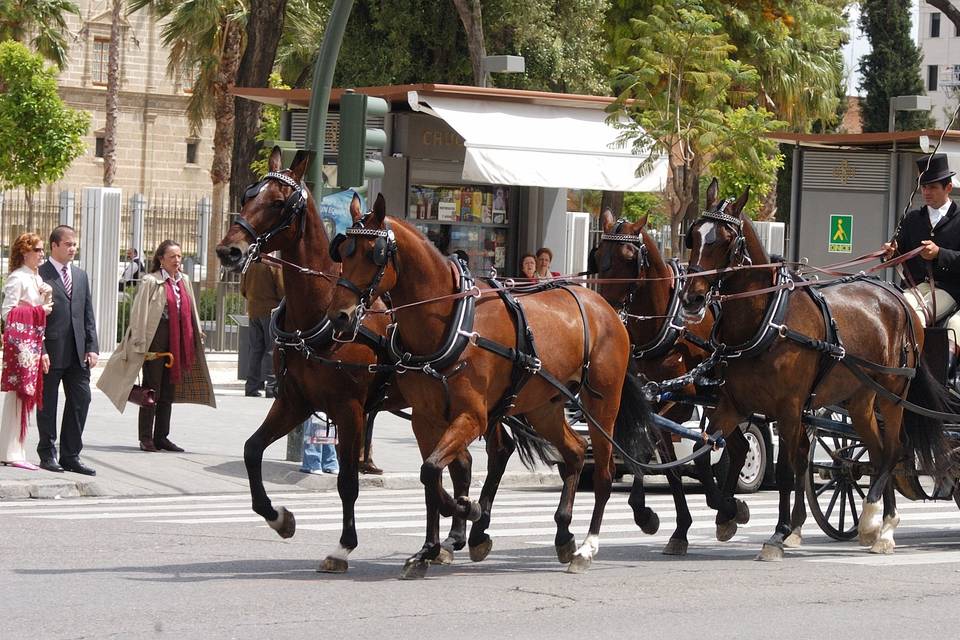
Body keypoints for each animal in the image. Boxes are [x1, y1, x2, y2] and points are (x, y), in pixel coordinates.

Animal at [214, 148, 476, 572]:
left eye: (278, 203)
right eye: (246, 196)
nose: (229, 251)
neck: (317, 313)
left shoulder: (349, 409)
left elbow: (348, 482)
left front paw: (344, 545)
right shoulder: (295, 401)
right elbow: (252, 451)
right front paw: (279, 518)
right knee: (460, 463)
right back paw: (452, 537)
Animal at [326, 194, 656, 576]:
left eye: (373, 254)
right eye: (343, 250)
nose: (340, 316)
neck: (450, 321)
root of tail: (606, 308)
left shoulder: (472, 416)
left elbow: (432, 471)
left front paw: (468, 511)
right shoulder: (425, 420)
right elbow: (430, 478)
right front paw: (429, 548)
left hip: (601, 405)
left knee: (603, 471)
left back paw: (587, 546)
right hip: (543, 407)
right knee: (574, 452)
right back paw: (562, 534)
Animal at [592, 211, 752, 556]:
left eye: (629, 257)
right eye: (598, 256)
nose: (604, 309)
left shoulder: (682, 397)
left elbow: (685, 449)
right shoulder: (651, 396)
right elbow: (666, 460)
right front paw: (668, 523)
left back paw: (726, 507)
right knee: (738, 447)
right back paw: (726, 509)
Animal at [680, 178, 956, 556]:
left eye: (724, 240)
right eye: (693, 236)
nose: (691, 299)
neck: (767, 319)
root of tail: (901, 299)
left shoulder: (789, 408)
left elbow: (785, 470)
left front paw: (779, 534)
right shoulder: (732, 404)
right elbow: (702, 453)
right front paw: (728, 514)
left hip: (893, 396)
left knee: (893, 451)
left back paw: (878, 523)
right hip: (861, 400)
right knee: (877, 451)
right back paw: (878, 524)